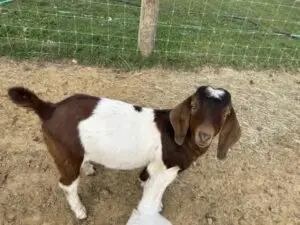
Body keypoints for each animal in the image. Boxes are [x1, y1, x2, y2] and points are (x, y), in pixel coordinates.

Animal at [7, 85, 241, 220]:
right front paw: (152, 210)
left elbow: (146, 179)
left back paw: (88, 166)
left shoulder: (155, 166)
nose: (204, 135)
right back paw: (80, 211)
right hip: (65, 152)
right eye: (193, 106)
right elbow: (153, 194)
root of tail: (49, 109)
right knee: (66, 184)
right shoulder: (165, 170)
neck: (178, 136)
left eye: (226, 113)